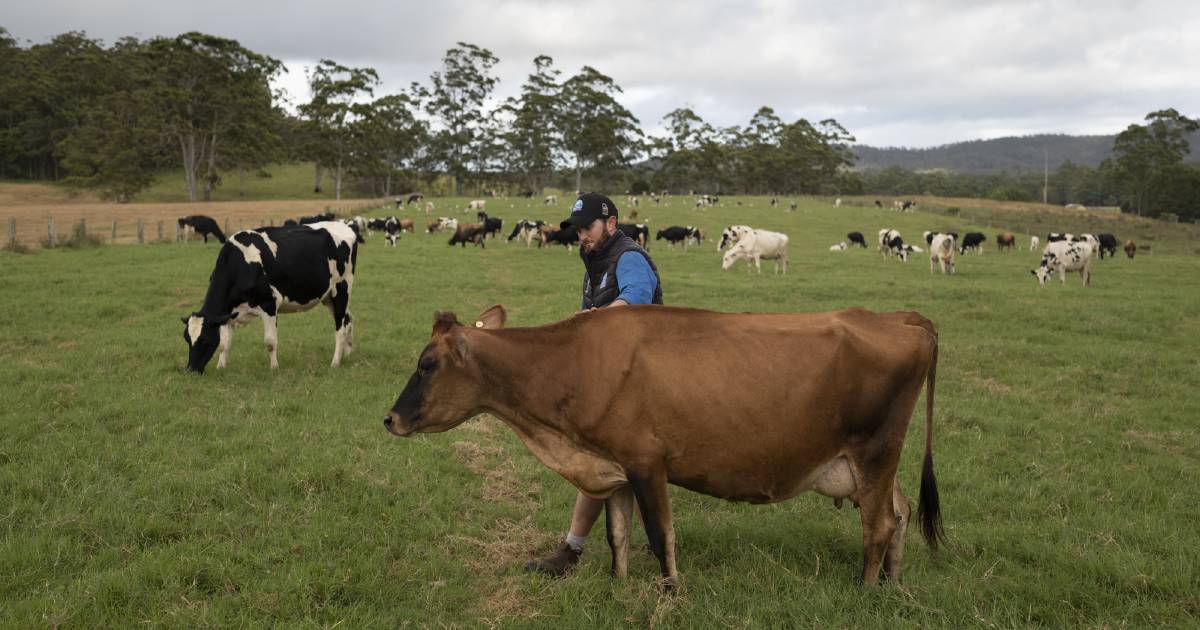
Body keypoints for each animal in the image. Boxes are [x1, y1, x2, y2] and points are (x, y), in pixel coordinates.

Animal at [177, 220, 355, 374]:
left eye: (204, 340)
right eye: (187, 339)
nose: (191, 370)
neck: (242, 264)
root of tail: (344, 225)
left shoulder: (269, 304)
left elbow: (270, 342)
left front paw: (274, 368)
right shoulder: (227, 313)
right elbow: (224, 344)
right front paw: (221, 368)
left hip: (341, 289)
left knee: (340, 328)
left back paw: (335, 362)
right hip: (329, 297)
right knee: (348, 320)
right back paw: (347, 355)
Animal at [384, 302, 945, 588]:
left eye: (427, 364)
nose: (390, 419)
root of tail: (899, 317)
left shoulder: (647, 462)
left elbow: (659, 536)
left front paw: (669, 592)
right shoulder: (611, 467)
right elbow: (618, 535)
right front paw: (617, 588)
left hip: (875, 452)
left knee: (879, 525)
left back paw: (866, 589)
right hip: (865, 465)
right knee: (900, 511)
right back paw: (892, 584)